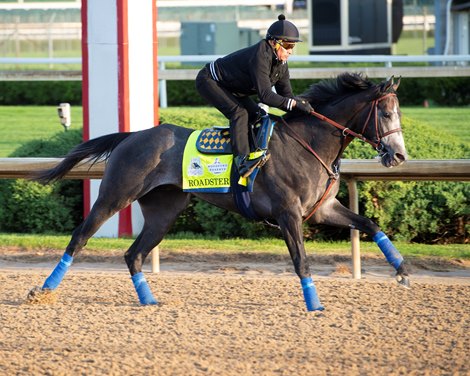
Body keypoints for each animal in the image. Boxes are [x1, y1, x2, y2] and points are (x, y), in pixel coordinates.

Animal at [31, 72, 410, 312]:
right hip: (115, 195)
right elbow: (301, 260)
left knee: (134, 254)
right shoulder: (288, 214)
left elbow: (371, 225)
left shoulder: (322, 210)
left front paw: (402, 271)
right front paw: (314, 305)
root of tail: (132, 135)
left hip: (163, 211)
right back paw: (43, 290)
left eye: (399, 113)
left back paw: (149, 301)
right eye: (385, 113)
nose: (398, 156)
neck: (310, 142)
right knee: (80, 237)